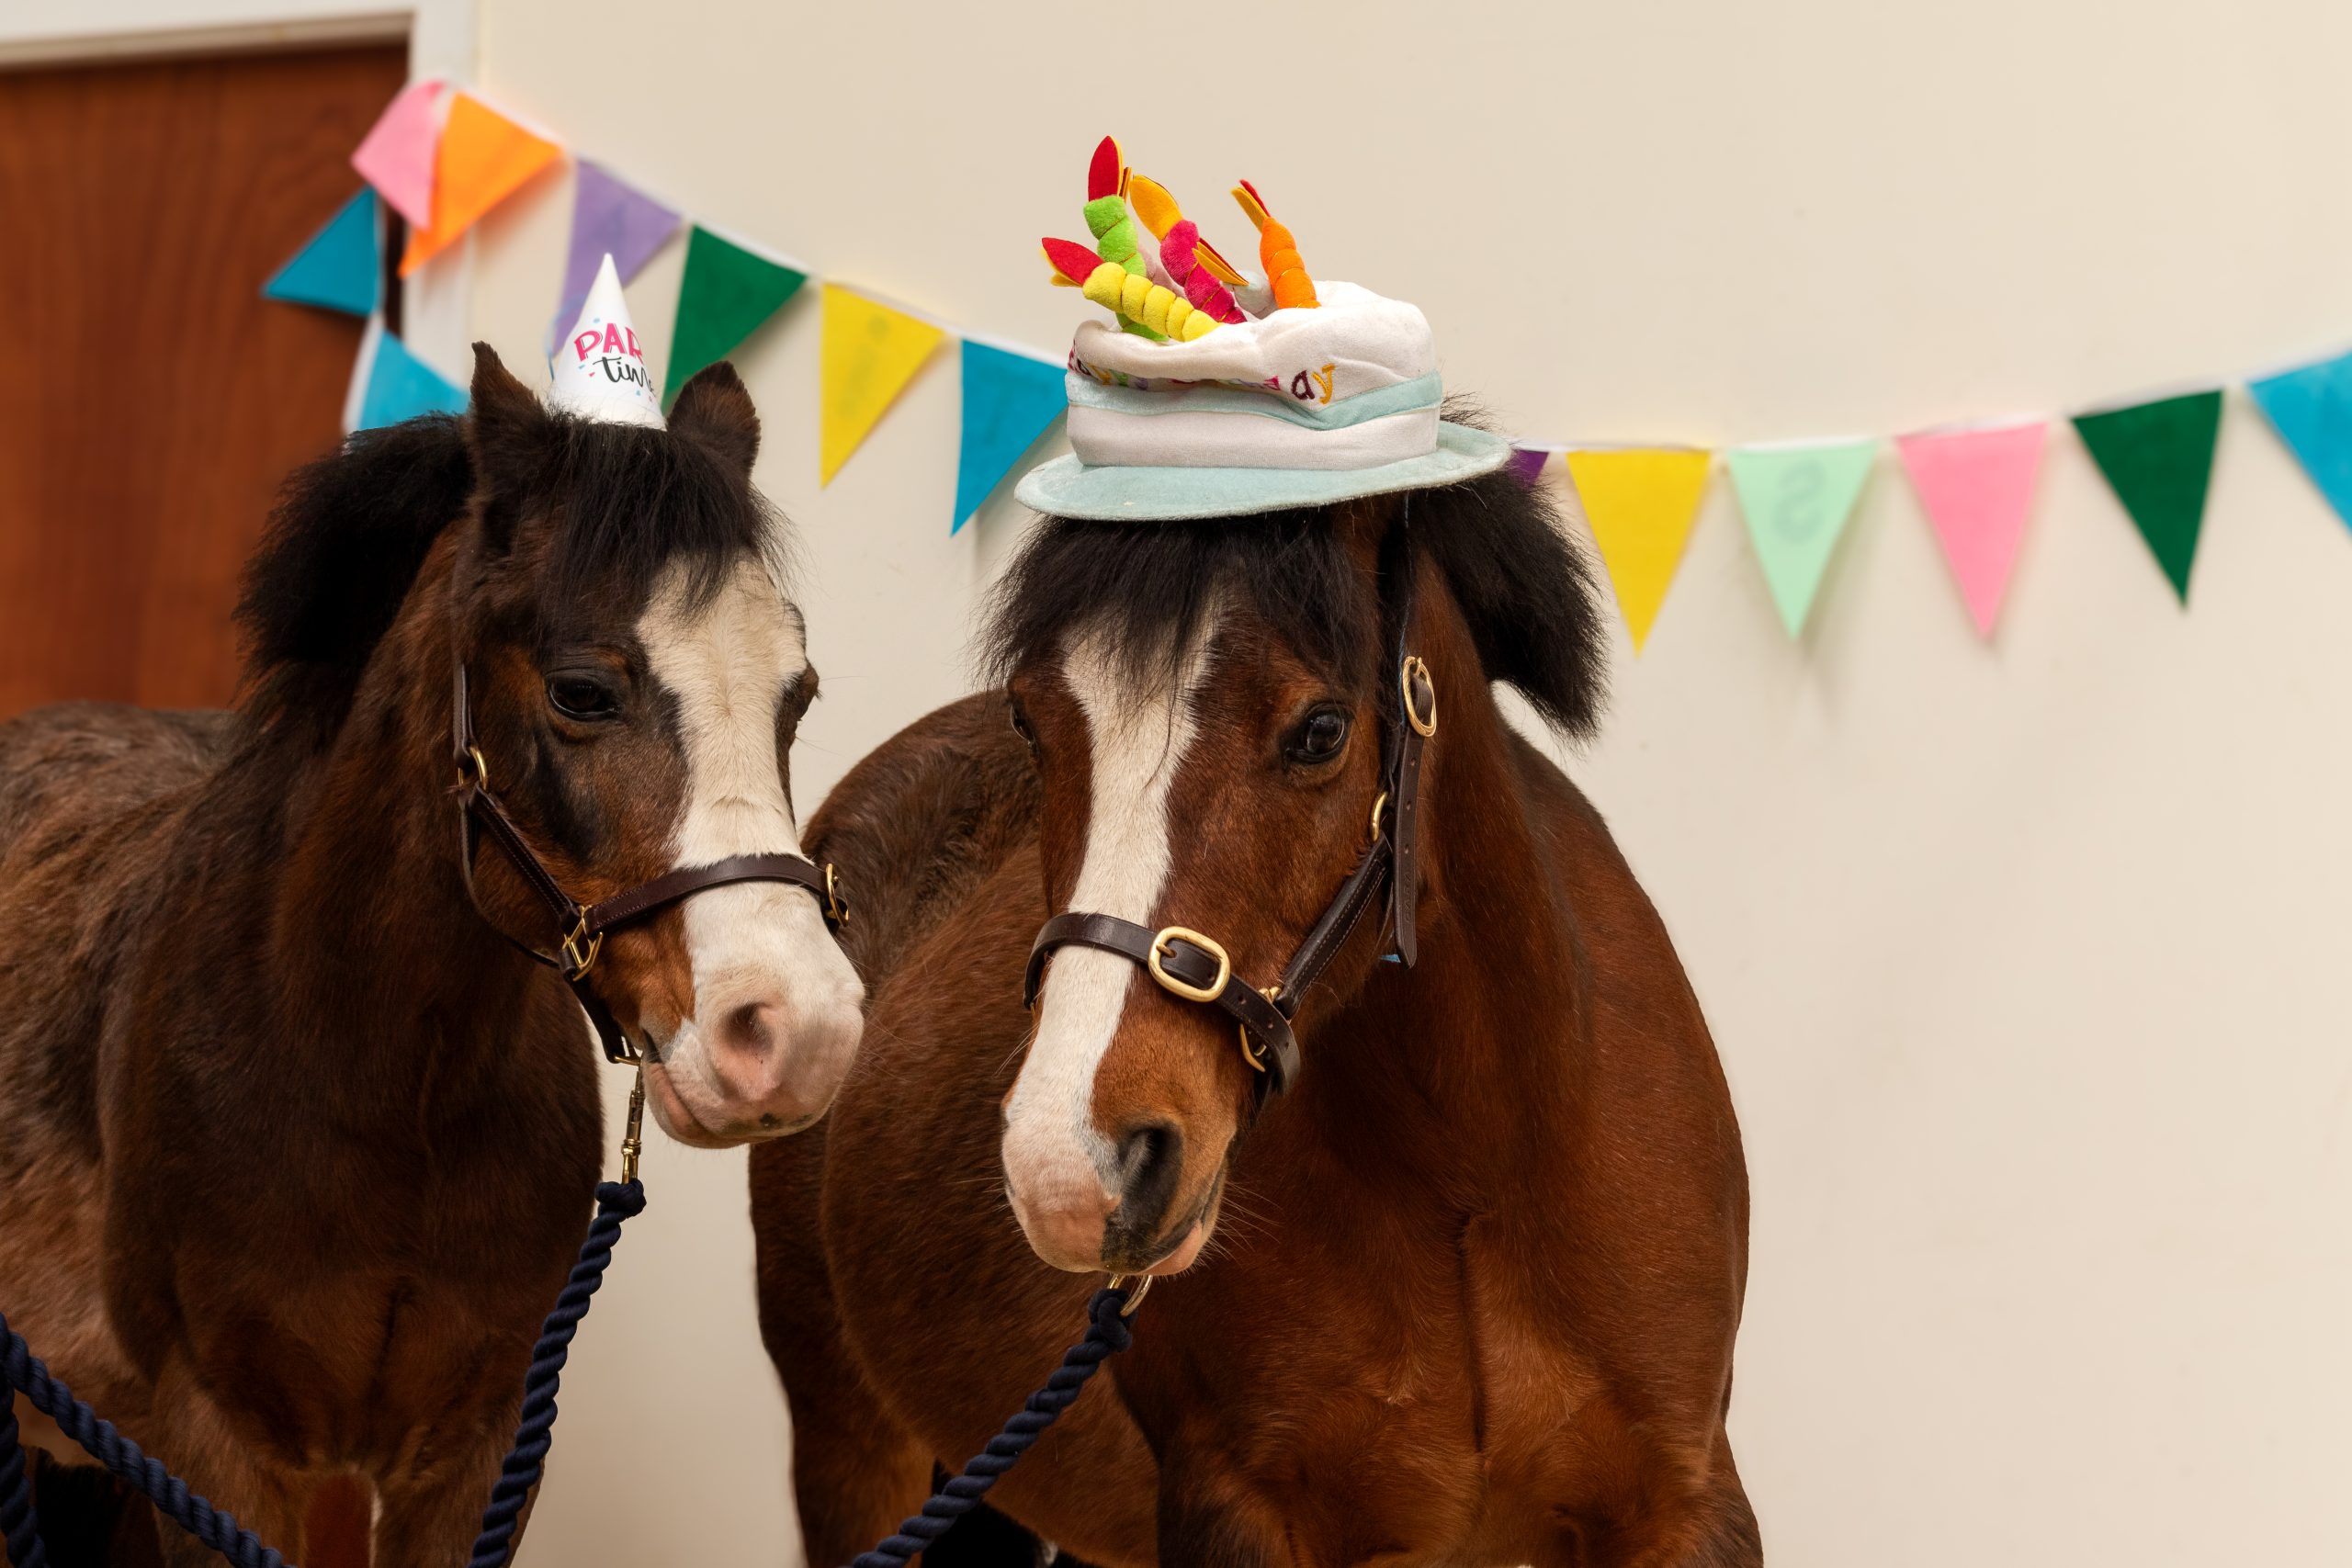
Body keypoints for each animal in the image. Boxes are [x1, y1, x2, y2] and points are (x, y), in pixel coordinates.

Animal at [0, 344, 864, 1568]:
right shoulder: (216, 1452)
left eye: (797, 694)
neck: (383, 1096)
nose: (799, 1031)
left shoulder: (477, 1450)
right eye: (580, 690)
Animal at [752, 443, 1760, 1567]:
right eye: (1032, 721)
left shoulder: (1684, 1506)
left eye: (1319, 731)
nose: (1072, 1166)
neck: (1473, 1168)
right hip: (852, 1444)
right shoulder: (1235, 1509)